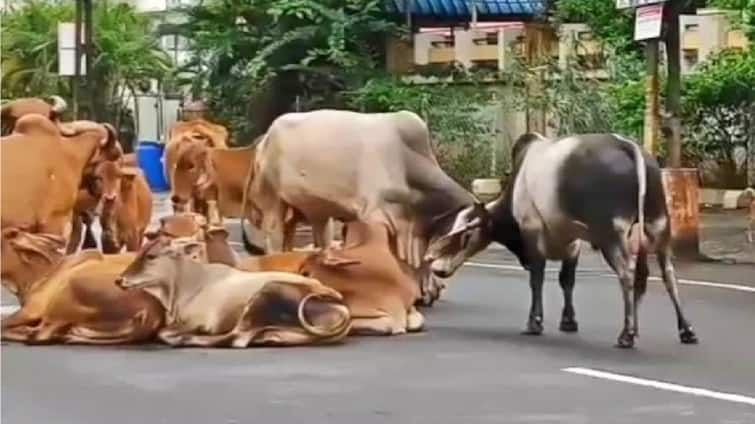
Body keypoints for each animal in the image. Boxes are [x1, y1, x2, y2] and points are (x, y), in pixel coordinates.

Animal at [116, 238, 352, 348]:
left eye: (151, 256)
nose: (120, 280)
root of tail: (338, 303)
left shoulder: (198, 321)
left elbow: (163, 333)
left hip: (263, 297)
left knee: (236, 338)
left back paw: (189, 339)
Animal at [428, 132, 700, 348]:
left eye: (467, 235)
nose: (438, 269)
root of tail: (630, 147)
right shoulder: (573, 243)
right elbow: (566, 281)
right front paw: (568, 321)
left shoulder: (533, 231)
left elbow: (537, 279)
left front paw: (534, 322)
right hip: (658, 224)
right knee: (667, 274)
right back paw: (686, 330)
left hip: (612, 233)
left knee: (628, 273)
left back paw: (627, 334)